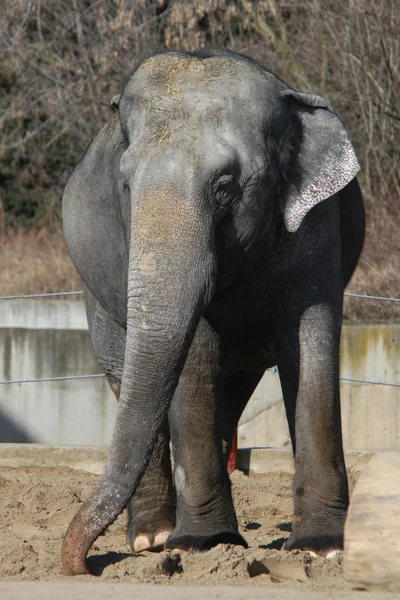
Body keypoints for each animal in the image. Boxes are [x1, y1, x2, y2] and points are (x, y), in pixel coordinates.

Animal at [61, 49, 364, 576]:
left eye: (225, 187)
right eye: (125, 184)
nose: (81, 565)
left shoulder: (317, 225)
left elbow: (311, 338)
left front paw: (321, 547)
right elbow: (195, 351)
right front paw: (203, 545)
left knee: (234, 387)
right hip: (93, 291)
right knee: (125, 376)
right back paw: (153, 539)